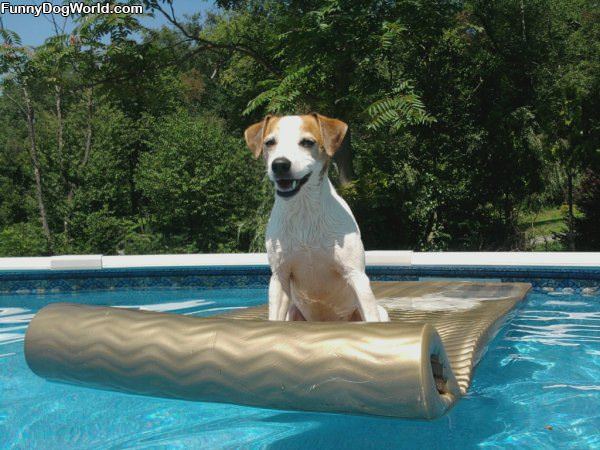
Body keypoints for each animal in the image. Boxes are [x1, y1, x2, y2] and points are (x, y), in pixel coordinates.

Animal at [244, 114, 390, 322]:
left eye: (307, 142)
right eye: (269, 142)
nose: (279, 164)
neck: (304, 211)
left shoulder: (356, 275)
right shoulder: (280, 277)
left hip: (378, 311)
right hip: (292, 312)